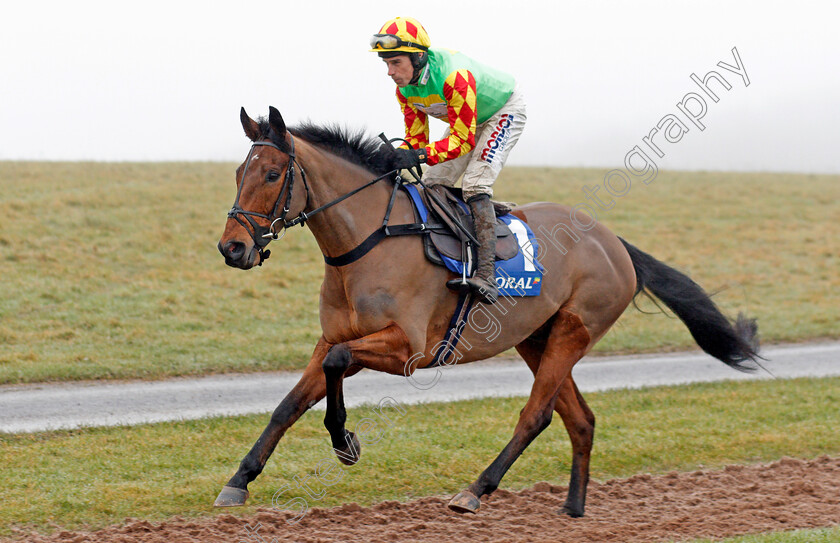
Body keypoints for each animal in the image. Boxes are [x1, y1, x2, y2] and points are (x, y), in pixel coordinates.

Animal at [213, 106, 756, 520]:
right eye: (238, 174)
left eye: (272, 174)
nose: (232, 248)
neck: (369, 241)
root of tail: (614, 242)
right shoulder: (330, 337)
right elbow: (290, 402)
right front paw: (240, 479)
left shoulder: (409, 350)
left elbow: (337, 363)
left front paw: (345, 442)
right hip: (536, 338)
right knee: (580, 419)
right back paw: (573, 508)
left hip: (574, 331)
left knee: (536, 415)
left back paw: (475, 490)